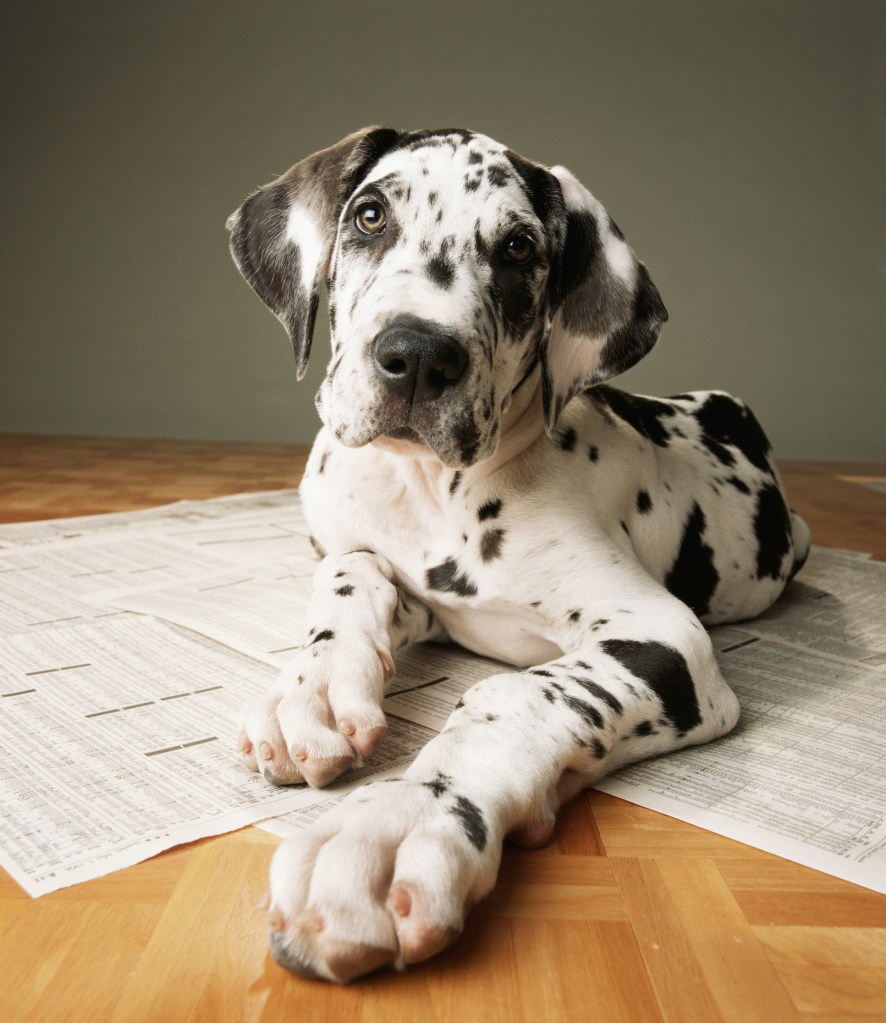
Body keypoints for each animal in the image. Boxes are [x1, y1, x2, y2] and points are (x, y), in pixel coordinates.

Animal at [226, 129, 806, 982]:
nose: (417, 355)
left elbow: (510, 695)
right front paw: (314, 689)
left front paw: (402, 819)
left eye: (518, 248)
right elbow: (349, 571)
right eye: (369, 215)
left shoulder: (663, 634)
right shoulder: (409, 585)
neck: (429, 488)